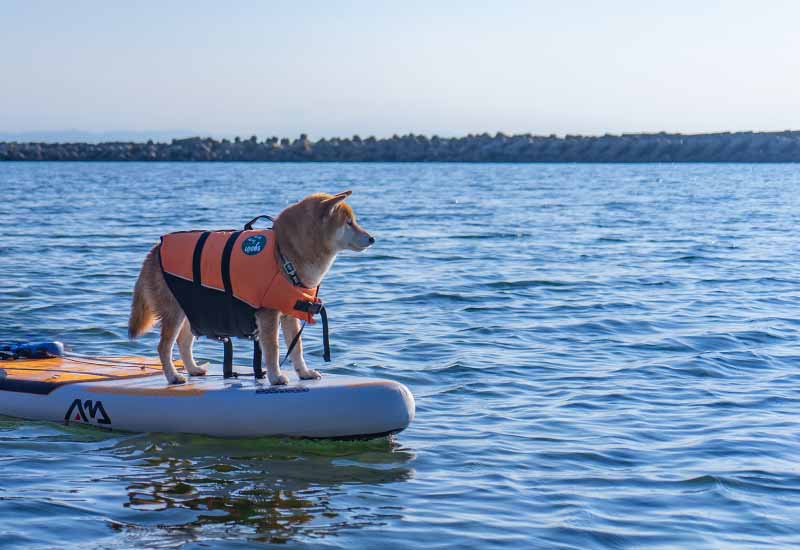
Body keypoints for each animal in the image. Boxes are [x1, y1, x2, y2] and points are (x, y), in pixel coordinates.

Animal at [126, 192, 374, 386]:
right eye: (349, 222)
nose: (372, 238)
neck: (283, 252)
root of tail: (154, 250)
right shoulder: (268, 314)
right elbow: (273, 349)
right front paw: (275, 377)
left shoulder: (290, 314)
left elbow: (297, 348)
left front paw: (304, 373)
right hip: (175, 313)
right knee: (164, 347)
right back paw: (173, 376)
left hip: (192, 310)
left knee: (183, 342)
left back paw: (193, 369)